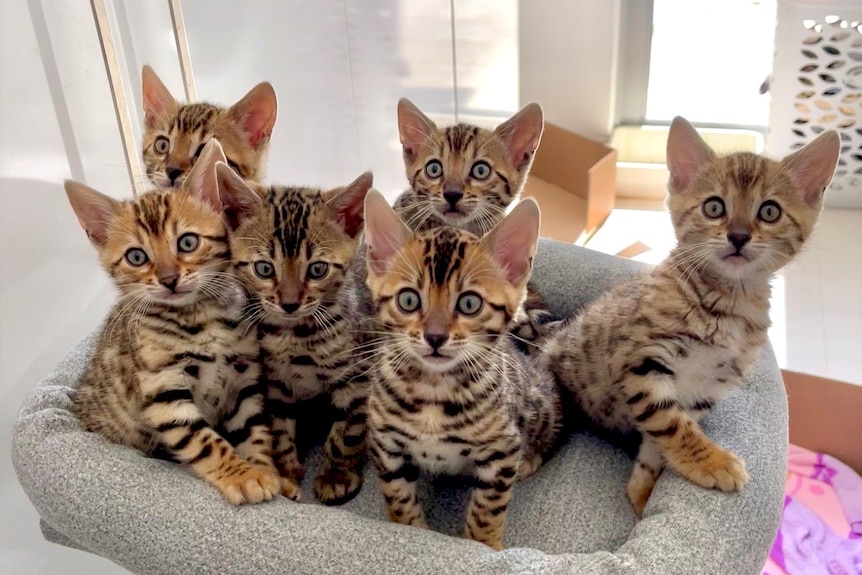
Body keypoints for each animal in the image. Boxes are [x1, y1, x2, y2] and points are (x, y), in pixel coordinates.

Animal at [70, 142, 284, 506]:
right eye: (136, 257)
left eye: (187, 242)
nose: (169, 279)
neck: (200, 318)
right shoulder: (164, 393)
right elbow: (206, 442)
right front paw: (243, 475)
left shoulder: (245, 378)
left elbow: (254, 428)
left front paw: (264, 469)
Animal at [215, 165, 372, 504]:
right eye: (263, 268)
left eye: (317, 269)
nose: (289, 303)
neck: (296, 335)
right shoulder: (274, 381)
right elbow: (278, 427)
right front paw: (286, 472)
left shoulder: (358, 375)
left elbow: (347, 430)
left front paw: (336, 474)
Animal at [362, 191, 560, 552]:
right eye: (408, 300)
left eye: (469, 304)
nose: (435, 337)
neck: (433, 387)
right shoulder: (385, 443)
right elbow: (398, 496)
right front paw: (412, 530)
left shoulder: (501, 450)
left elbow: (487, 508)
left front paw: (484, 545)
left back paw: (529, 460)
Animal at [544, 117, 840, 516]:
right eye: (714, 207)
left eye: (770, 211)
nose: (739, 236)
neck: (727, 302)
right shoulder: (640, 359)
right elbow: (670, 423)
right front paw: (712, 462)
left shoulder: (706, 388)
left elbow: (663, 436)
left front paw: (646, 485)